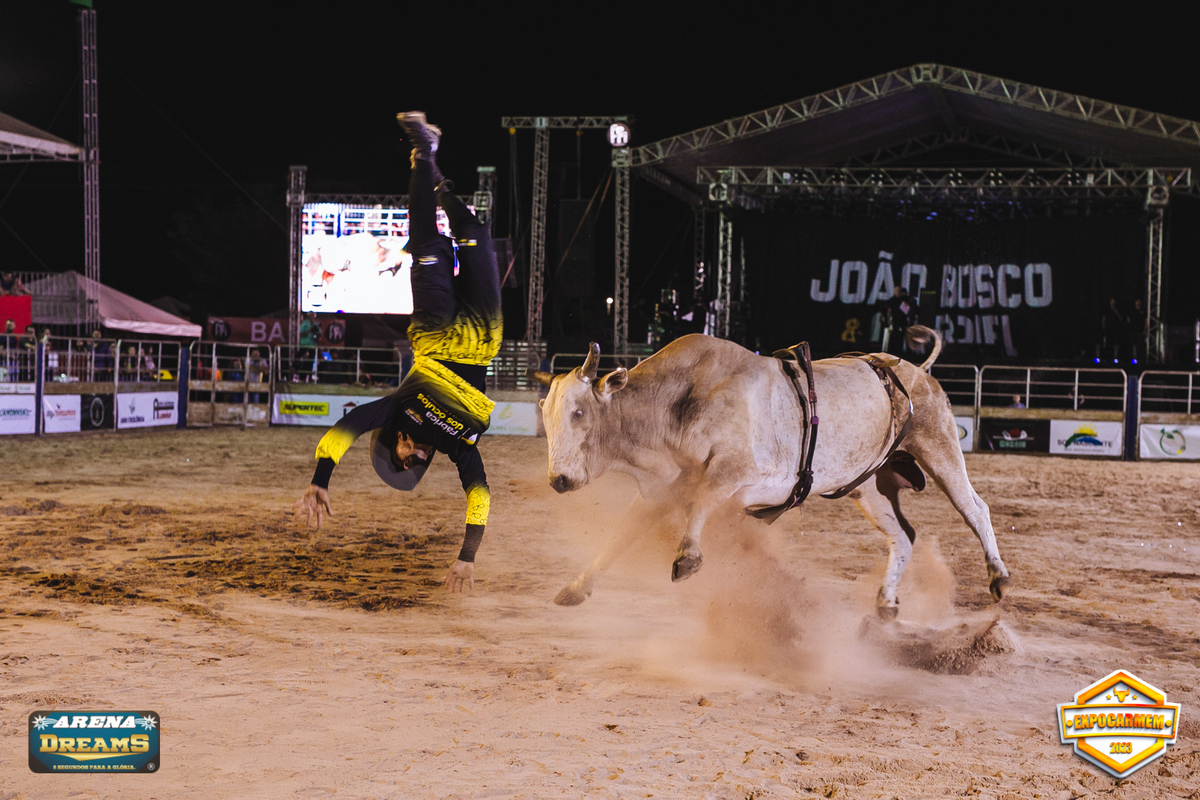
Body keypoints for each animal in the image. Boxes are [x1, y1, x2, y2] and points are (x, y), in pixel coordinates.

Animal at [530, 326, 1010, 619]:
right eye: (547, 417)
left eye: (578, 412)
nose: (559, 480)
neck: (677, 404)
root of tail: (917, 370)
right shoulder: (658, 492)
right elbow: (620, 536)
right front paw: (577, 587)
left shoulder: (735, 468)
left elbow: (703, 498)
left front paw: (688, 557)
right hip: (868, 486)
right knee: (903, 536)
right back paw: (888, 600)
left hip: (939, 446)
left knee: (976, 509)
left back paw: (999, 577)